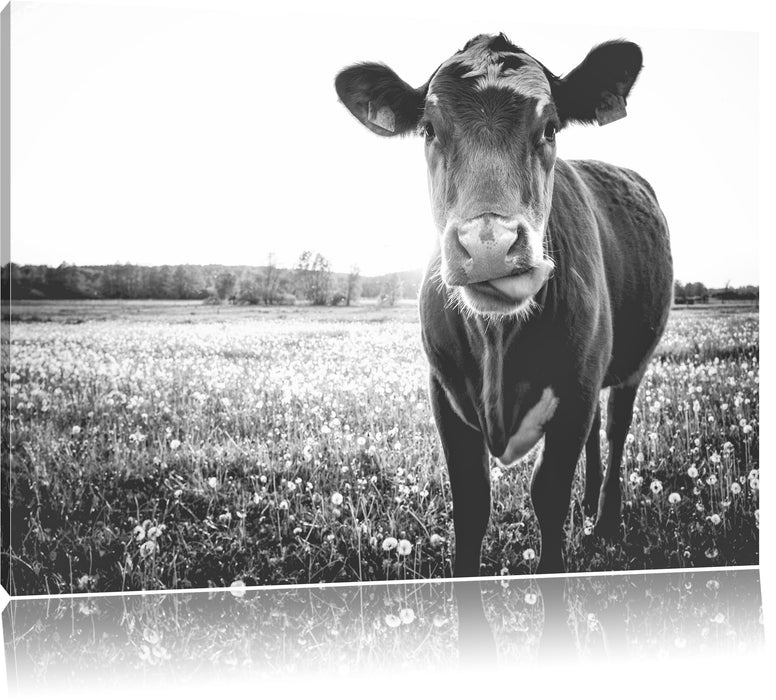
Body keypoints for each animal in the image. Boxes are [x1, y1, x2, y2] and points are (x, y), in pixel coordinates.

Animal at [334, 33, 673, 576]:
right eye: (429, 128)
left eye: (550, 126)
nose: (489, 243)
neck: (497, 344)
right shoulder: (445, 393)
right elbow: (472, 505)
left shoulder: (575, 390)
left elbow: (548, 496)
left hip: (631, 364)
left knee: (616, 431)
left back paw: (604, 520)